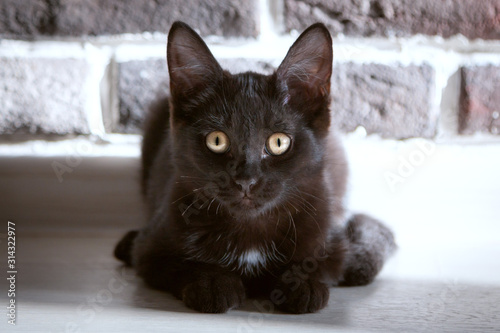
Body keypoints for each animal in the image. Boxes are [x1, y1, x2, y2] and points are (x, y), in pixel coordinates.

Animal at [115, 22, 396, 312]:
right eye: (217, 140)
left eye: (278, 142)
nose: (246, 180)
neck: (250, 231)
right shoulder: (152, 248)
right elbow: (179, 264)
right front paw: (212, 283)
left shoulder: (329, 239)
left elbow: (317, 263)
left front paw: (300, 285)